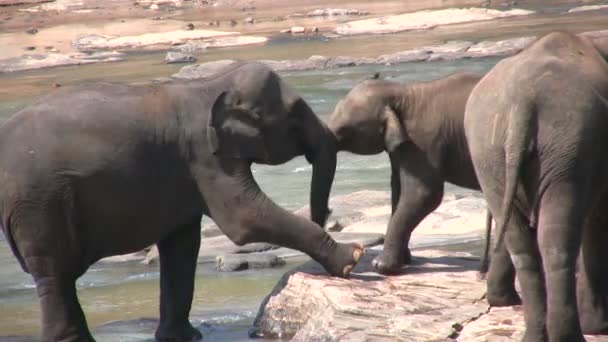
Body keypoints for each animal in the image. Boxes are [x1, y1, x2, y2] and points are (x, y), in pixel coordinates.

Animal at [0, 62, 364, 342]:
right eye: (295, 114)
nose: (323, 216)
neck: (211, 84)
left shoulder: (188, 173)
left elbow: (183, 245)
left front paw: (184, 337)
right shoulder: (205, 157)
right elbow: (244, 220)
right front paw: (353, 258)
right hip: (38, 203)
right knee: (55, 274)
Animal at [320, 72, 520, 308]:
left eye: (344, 131)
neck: (403, 93)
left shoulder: (424, 141)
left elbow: (425, 194)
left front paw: (381, 266)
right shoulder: (404, 147)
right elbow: (398, 190)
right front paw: (406, 261)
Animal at [466, 30, 608, 340]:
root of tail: (522, 102)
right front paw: (598, 327)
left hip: (488, 155)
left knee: (522, 244)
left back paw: (535, 334)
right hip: (568, 145)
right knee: (557, 238)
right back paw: (572, 336)